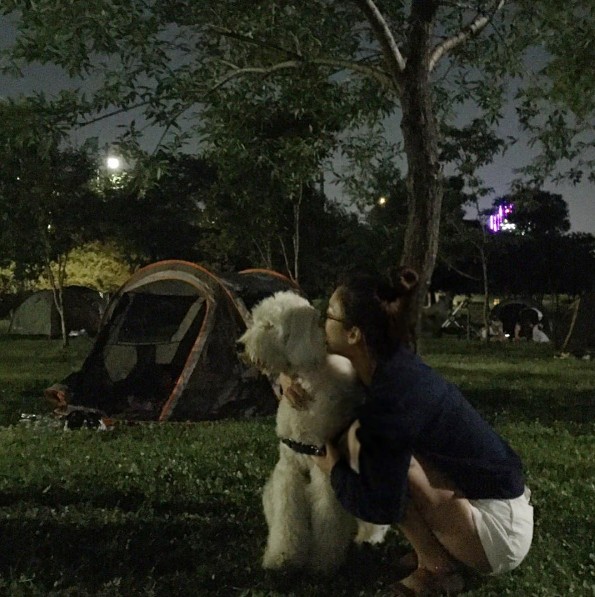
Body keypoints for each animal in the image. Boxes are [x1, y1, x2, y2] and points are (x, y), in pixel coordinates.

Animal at [238, 290, 388, 574]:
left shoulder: (325, 471)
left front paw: (323, 561)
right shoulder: (289, 469)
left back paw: (370, 536)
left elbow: (327, 516)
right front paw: (283, 556)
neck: (307, 381)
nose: (238, 346)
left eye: (269, 325)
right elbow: (287, 516)